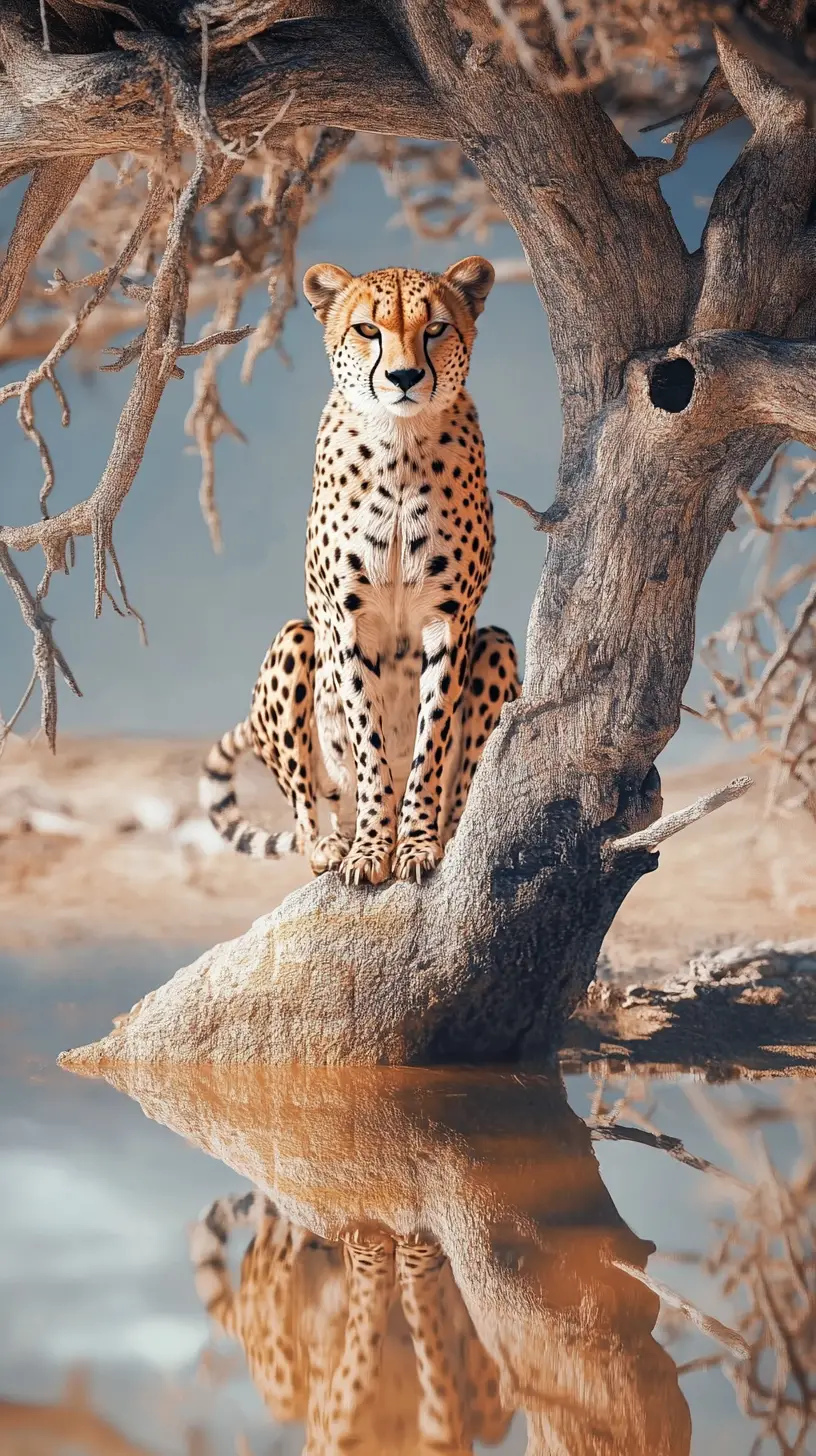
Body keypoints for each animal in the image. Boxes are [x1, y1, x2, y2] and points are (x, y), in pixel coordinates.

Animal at [199, 256, 520, 886]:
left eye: (436, 328)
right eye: (368, 329)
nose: (404, 377)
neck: (400, 444)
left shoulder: (449, 620)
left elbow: (430, 739)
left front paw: (415, 843)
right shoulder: (347, 621)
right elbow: (369, 744)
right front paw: (373, 849)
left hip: (495, 643)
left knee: (463, 784)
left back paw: (446, 833)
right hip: (297, 639)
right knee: (310, 809)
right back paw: (333, 846)